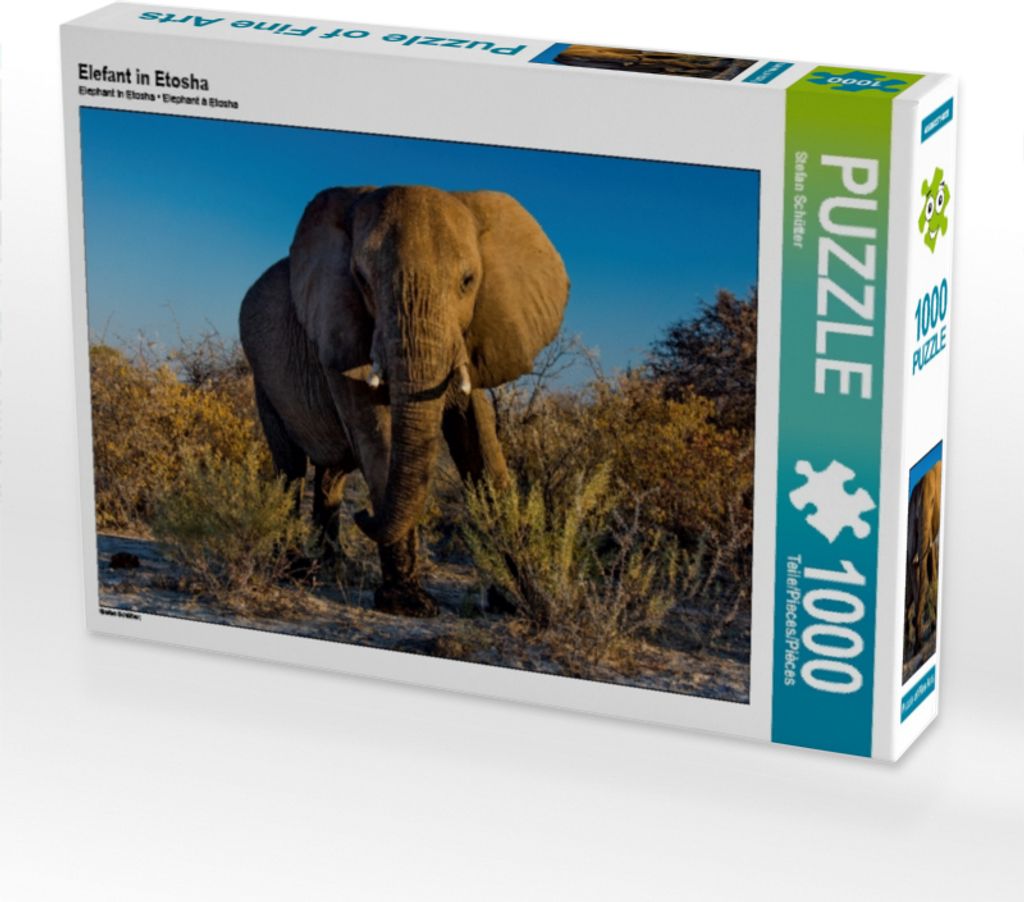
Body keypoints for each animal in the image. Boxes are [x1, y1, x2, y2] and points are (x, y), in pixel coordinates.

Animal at [239, 185, 569, 617]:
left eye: (468, 281)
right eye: (361, 279)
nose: (364, 514)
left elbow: (479, 441)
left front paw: (523, 602)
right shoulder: (340, 332)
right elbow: (377, 436)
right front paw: (408, 603)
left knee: (331, 473)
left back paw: (331, 569)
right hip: (263, 378)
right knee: (291, 469)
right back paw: (292, 568)